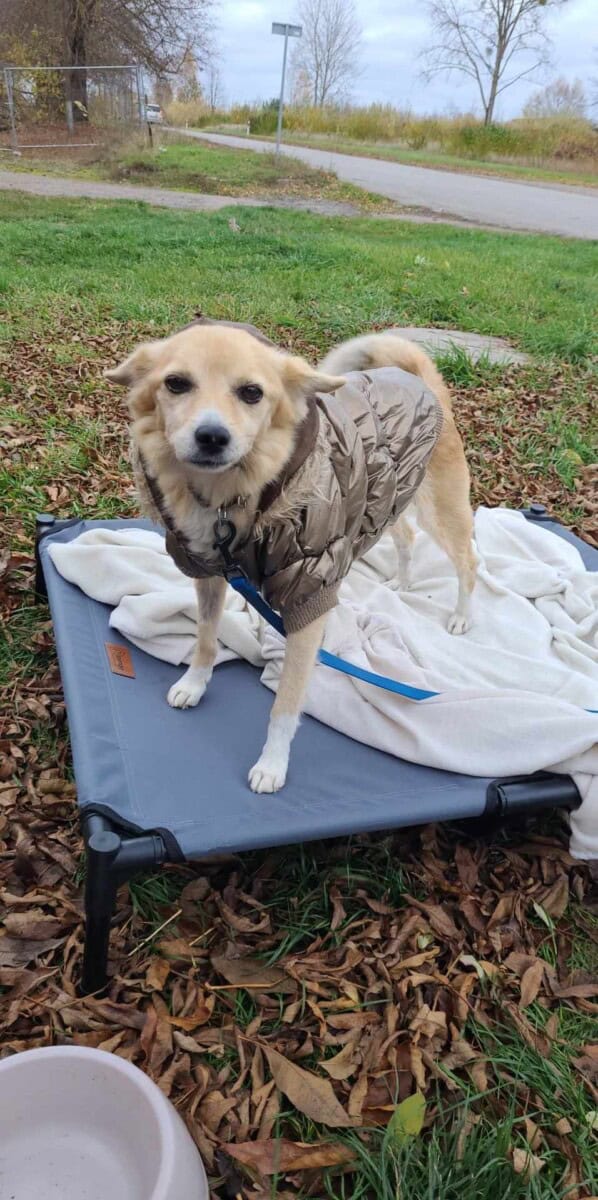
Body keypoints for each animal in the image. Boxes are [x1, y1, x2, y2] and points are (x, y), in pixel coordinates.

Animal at [106, 320, 476, 794]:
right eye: (176, 383)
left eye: (251, 392)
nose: (212, 437)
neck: (232, 496)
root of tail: (419, 378)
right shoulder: (209, 575)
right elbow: (205, 640)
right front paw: (194, 683)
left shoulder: (306, 600)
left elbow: (285, 704)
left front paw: (272, 763)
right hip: (387, 497)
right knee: (406, 536)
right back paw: (403, 581)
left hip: (440, 512)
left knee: (468, 562)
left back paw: (462, 615)